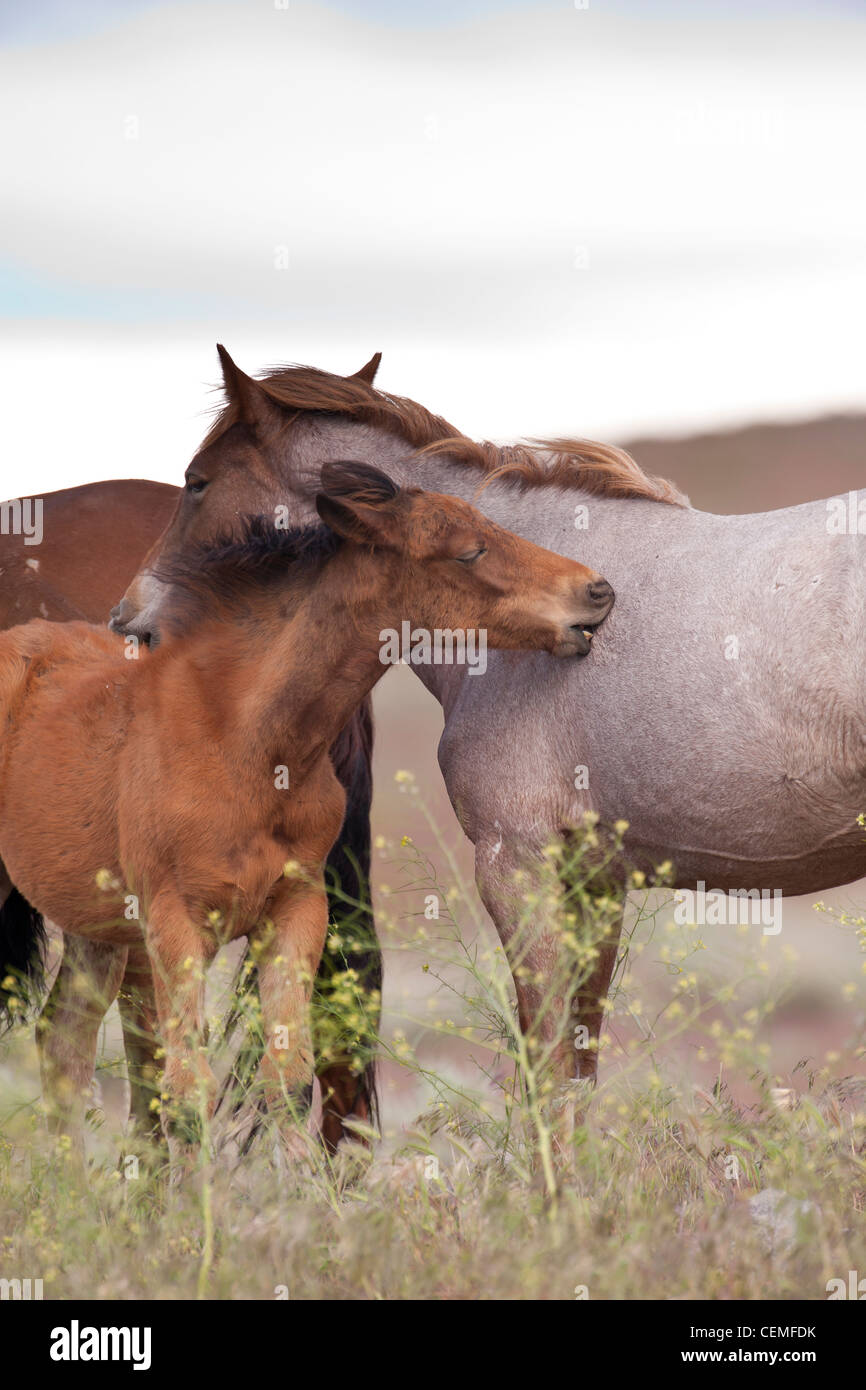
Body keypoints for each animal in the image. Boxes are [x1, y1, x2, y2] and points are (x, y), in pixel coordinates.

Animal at [0, 461, 617, 1167]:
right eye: (470, 551)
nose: (596, 591)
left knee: (64, 1042)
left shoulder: (295, 910)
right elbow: (186, 1088)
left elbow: (286, 1080)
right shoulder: (176, 922)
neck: (245, 739)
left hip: (97, 925)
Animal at [115, 347, 866, 1117]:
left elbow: (547, 1069)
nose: (129, 620)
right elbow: (577, 1067)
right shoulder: (593, 881)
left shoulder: (515, 862)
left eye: (196, 482)